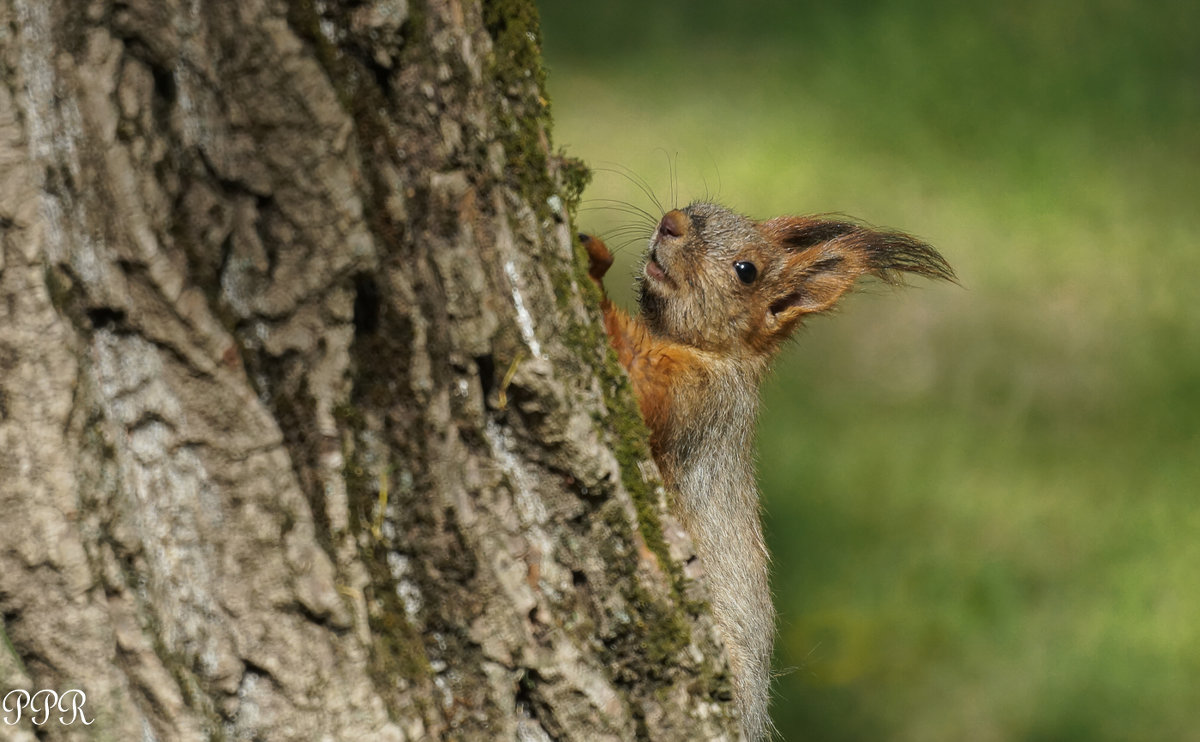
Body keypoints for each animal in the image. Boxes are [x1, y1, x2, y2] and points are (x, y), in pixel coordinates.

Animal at [580, 199, 955, 734]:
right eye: (698, 206)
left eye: (746, 270)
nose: (671, 222)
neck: (721, 356)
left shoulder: (700, 402)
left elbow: (640, 381)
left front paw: (592, 269)